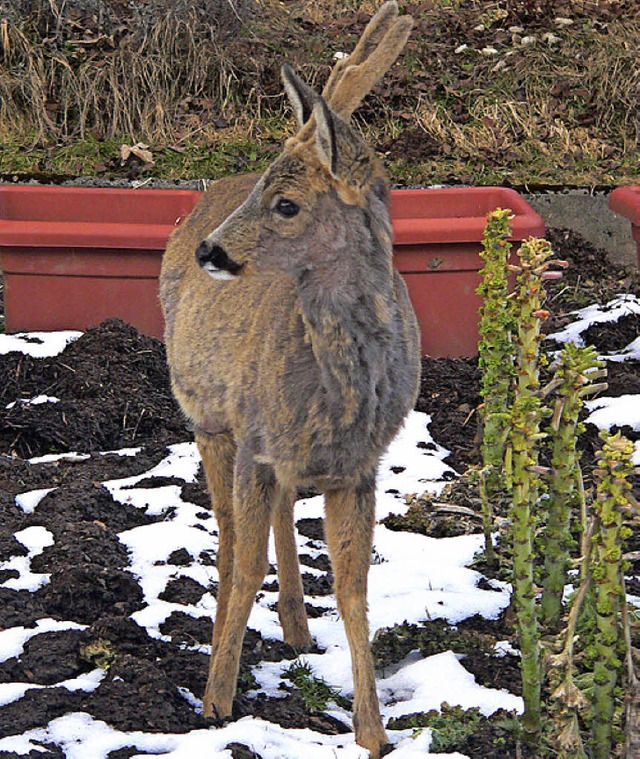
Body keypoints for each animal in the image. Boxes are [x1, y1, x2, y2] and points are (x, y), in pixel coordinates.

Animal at [159, 4, 420, 756]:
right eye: (262, 191)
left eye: (287, 204)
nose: (211, 250)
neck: (337, 397)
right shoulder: (253, 437)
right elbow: (244, 563)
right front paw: (216, 700)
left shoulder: (358, 465)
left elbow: (355, 588)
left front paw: (373, 731)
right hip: (207, 416)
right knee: (226, 539)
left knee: (273, 517)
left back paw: (298, 627)